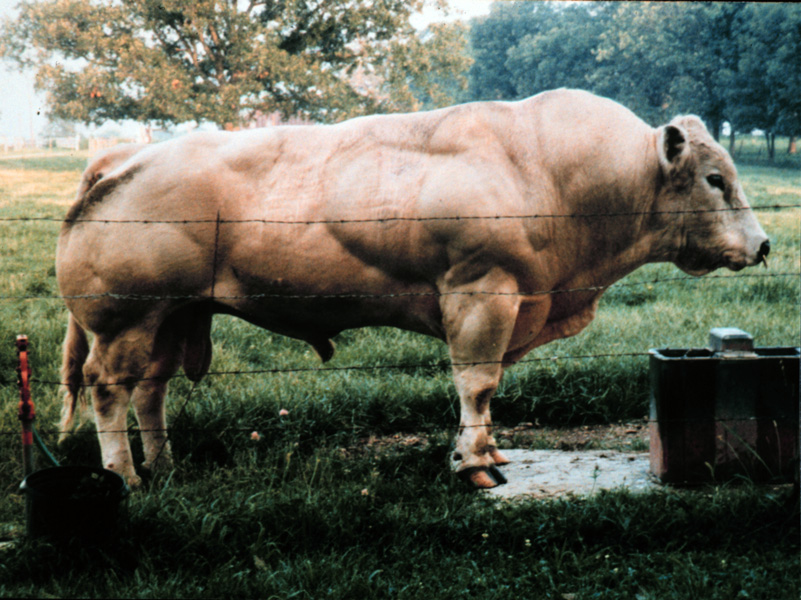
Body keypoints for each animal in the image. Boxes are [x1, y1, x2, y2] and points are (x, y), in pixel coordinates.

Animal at [56, 91, 768, 490]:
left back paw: (164, 465)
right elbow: (477, 384)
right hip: (125, 322)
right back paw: (124, 475)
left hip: (171, 318)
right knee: (109, 390)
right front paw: (473, 463)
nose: (763, 245)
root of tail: (121, 157)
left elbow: (486, 392)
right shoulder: (483, 294)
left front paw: (491, 449)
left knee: (151, 390)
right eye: (714, 178)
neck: (550, 172)